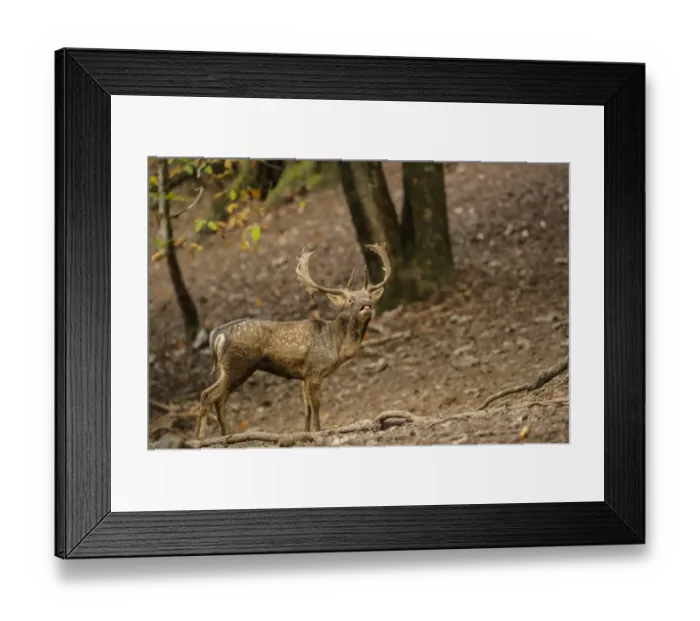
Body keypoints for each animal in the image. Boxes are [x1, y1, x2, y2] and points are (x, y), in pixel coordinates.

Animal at [195, 243, 392, 440]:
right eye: (351, 300)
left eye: (369, 296)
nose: (366, 304)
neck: (335, 344)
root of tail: (218, 335)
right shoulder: (314, 369)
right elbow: (316, 405)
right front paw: (319, 431)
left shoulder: (303, 375)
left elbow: (306, 408)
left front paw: (305, 432)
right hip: (239, 365)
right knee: (208, 395)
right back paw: (202, 437)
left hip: (226, 369)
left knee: (219, 399)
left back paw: (224, 436)